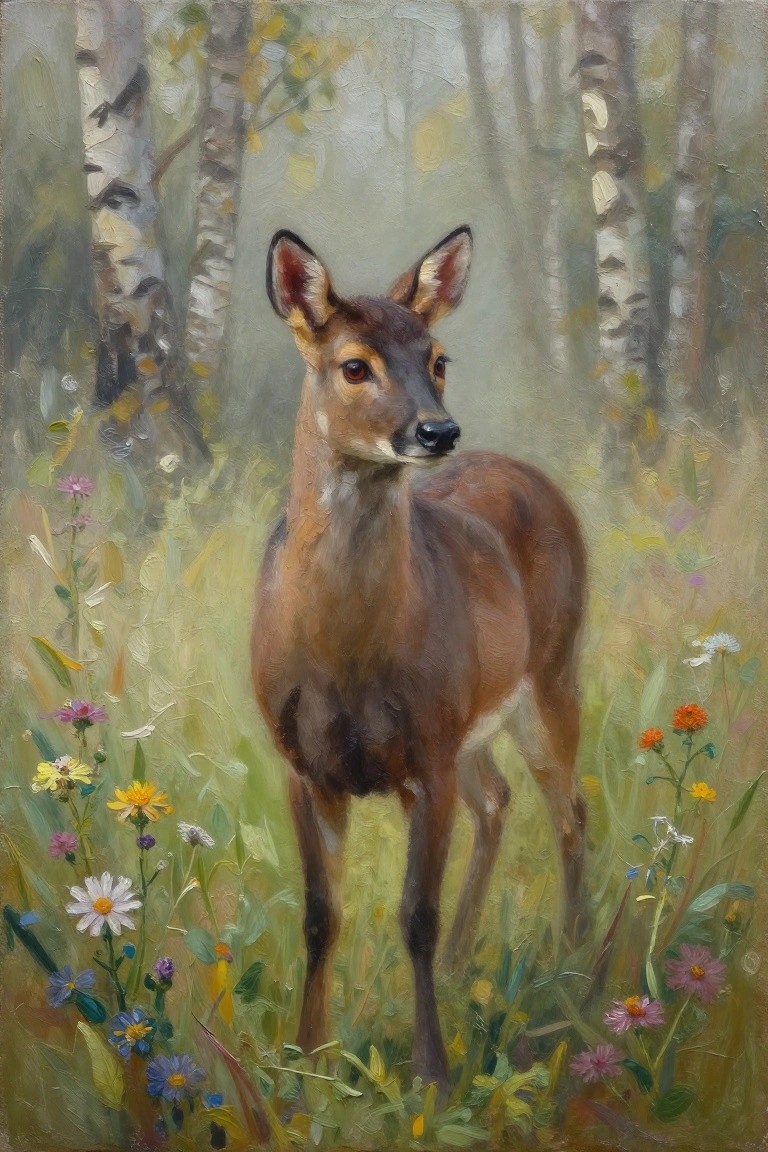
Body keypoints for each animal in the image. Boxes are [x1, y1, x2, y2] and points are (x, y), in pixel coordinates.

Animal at [251, 225, 588, 1091]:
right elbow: (320, 916)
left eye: (438, 356)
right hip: (472, 722)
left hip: (551, 671)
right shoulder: (301, 762)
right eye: (354, 364)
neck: (346, 656)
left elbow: (415, 917)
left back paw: (579, 963)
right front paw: (305, 1062)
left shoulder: (426, 759)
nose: (438, 431)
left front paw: (429, 1074)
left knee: (568, 808)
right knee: (499, 800)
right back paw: (480, 956)